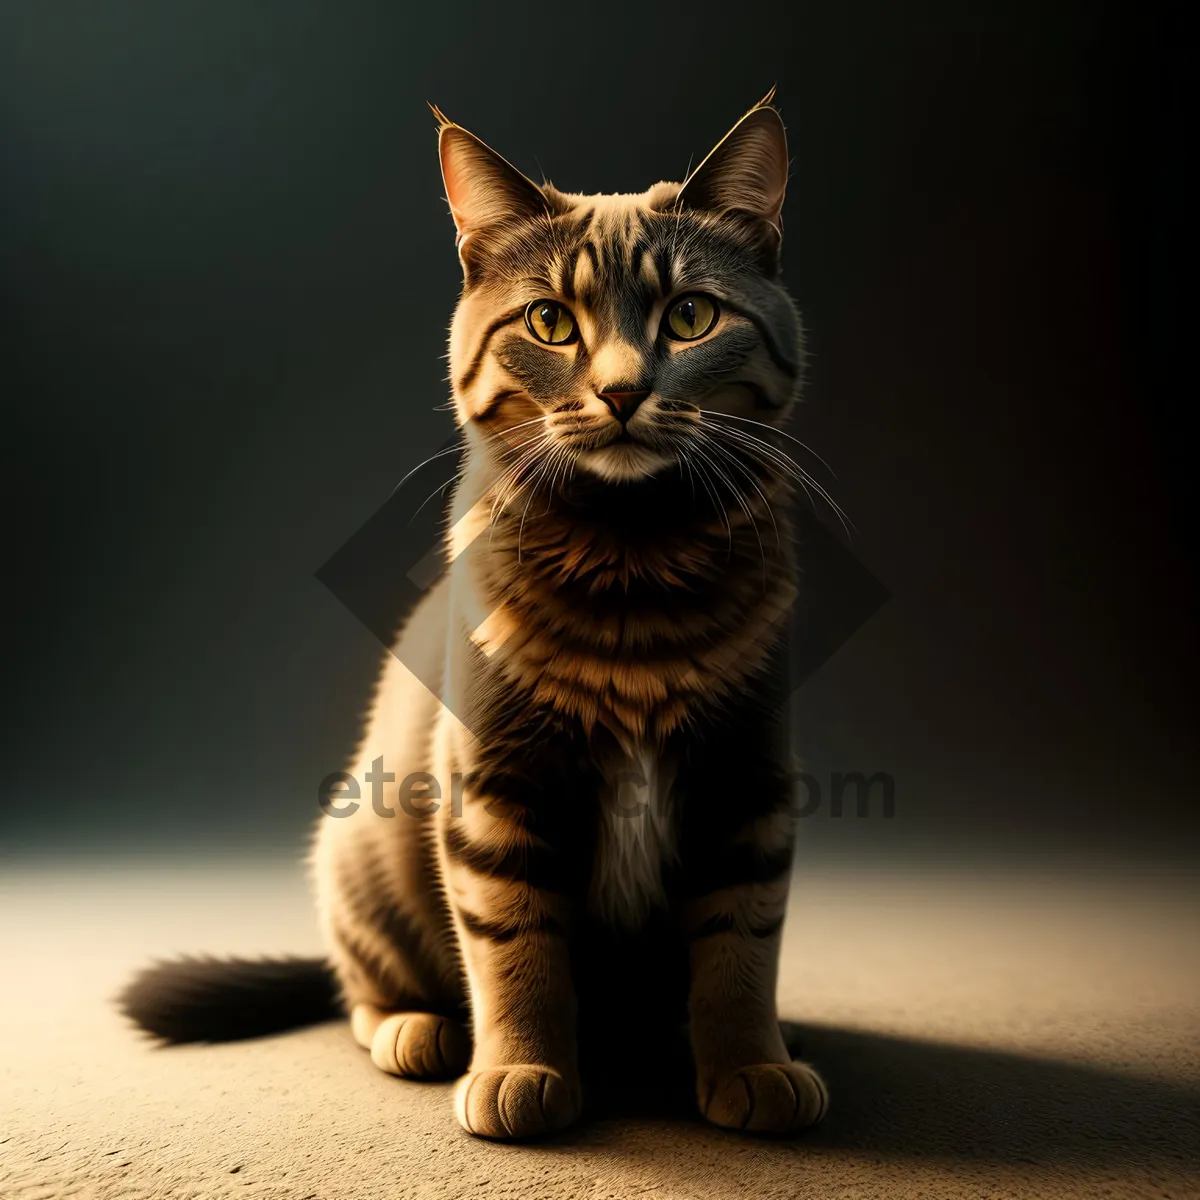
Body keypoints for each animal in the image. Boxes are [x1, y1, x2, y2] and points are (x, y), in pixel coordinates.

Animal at [124, 88, 835, 1137]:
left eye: (691, 316)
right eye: (549, 323)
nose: (622, 390)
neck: (633, 559)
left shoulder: (746, 780)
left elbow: (740, 941)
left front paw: (752, 1061)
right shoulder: (492, 789)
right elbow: (516, 944)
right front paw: (522, 1071)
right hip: (358, 844)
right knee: (359, 989)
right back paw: (415, 1030)